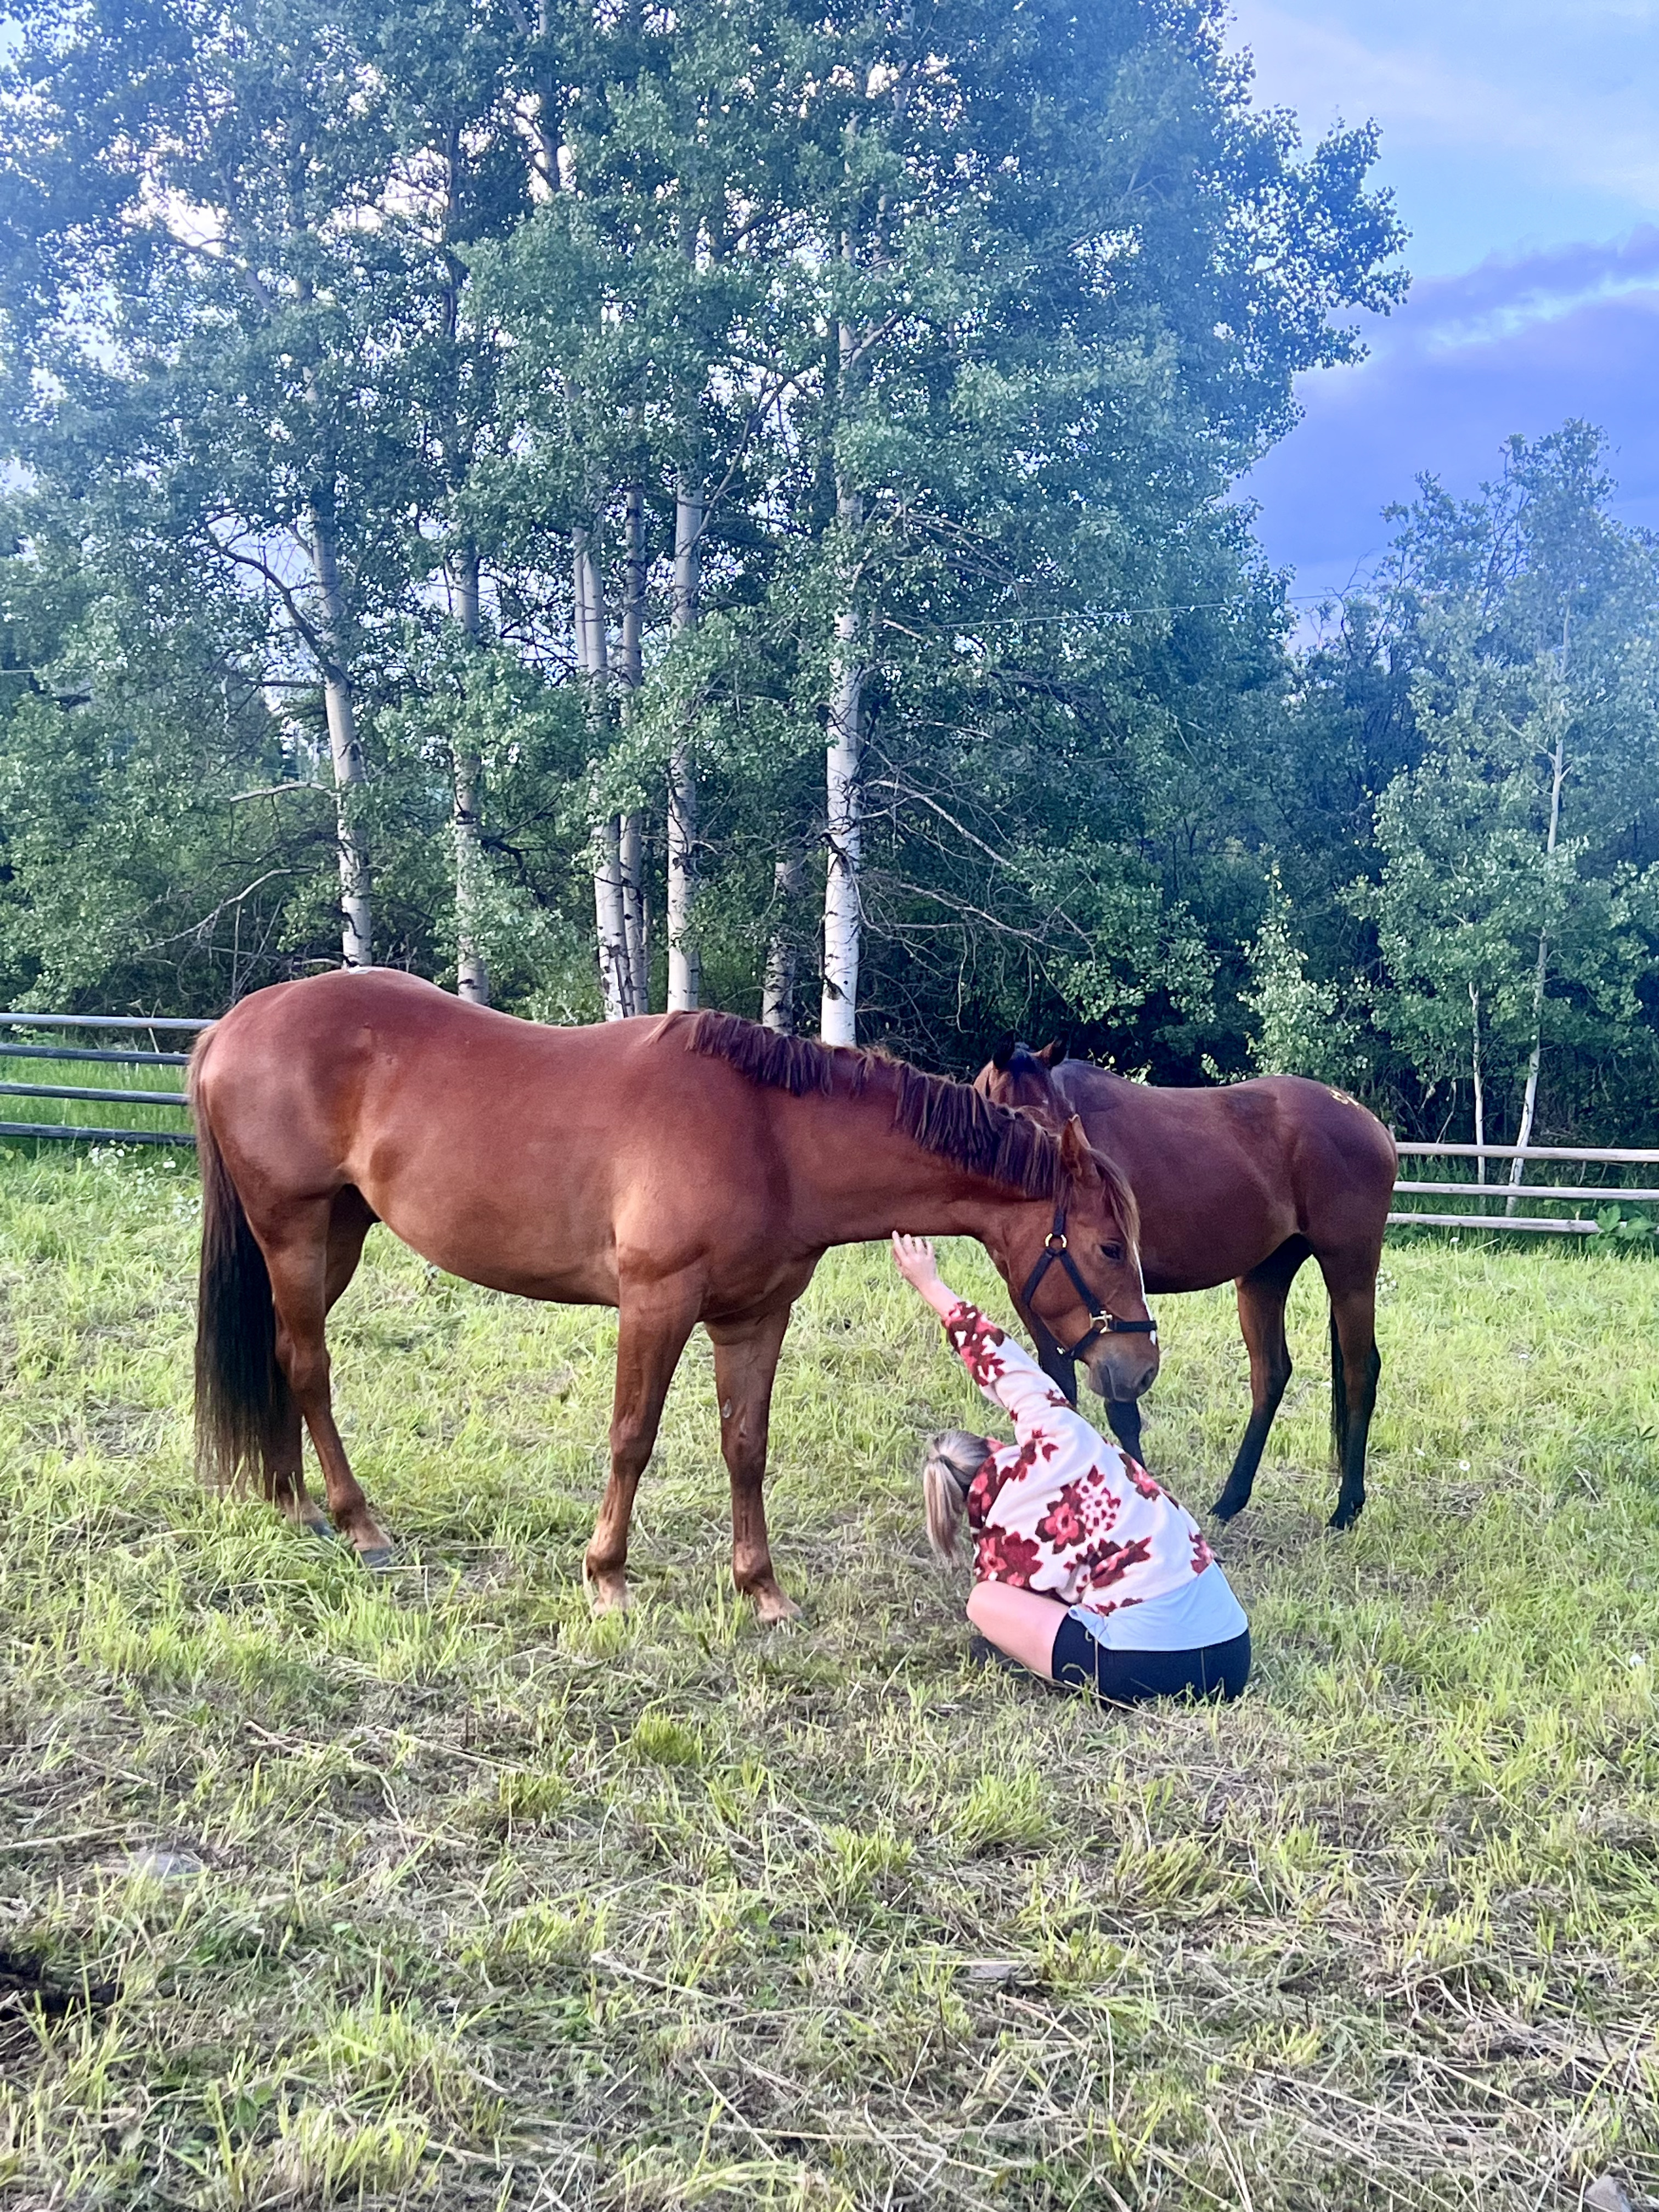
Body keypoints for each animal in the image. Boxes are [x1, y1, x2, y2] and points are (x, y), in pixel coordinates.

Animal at [188, 970, 1157, 1618]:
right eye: (1110, 1245)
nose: (1139, 1366)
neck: (770, 1134)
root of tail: (234, 1025)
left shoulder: (755, 1317)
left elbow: (746, 1447)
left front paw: (762, 1591)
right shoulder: (655, 1305)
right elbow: (632, 1439)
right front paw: (607, 1578)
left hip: (337, 1236)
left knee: (281, 1354)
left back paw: (292, 1499)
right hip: (294, 1231)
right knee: (308, 1365)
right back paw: (357, 1524)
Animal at [974, 1042, 1396, 1528]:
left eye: (1058, 1116)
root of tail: (1371, 1124)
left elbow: (1121, 1407)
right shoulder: (1033, 1297)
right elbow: (1059, 1387)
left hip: (1350, 1273)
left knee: (1360, 1372)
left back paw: (1346, 1507)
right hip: (1264, 1277)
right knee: (1270, 1375)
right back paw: (1231, 1501)